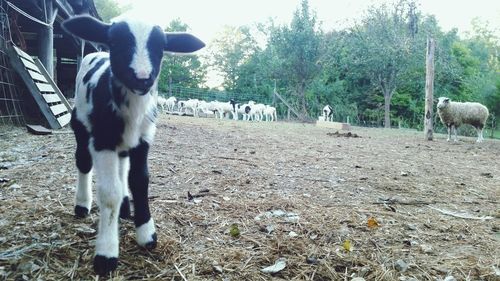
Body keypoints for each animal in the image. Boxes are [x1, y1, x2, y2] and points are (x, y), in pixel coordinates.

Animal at [62, 14, 203, 274]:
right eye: (114, 42)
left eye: (161, 46)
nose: (142, 77)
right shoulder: (103, 139)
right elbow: (109, 192)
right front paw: (106, 253)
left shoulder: (144, 138)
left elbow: (140, 181)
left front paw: (147, 234)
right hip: (80, 123)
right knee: (83, 162)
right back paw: (82, 205)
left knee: (122, 167)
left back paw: (126, 208)